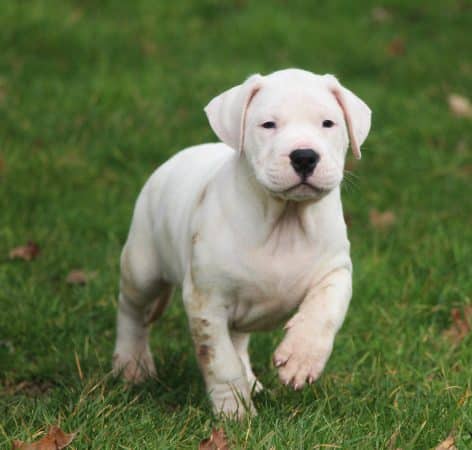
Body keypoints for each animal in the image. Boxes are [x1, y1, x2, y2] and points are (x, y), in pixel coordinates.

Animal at [112, 68, 370, 416]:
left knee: (238, 341)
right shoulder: (206, 302)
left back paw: (252, 382)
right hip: (143, 265)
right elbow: (221, 361)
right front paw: (234, 412)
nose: (304, 156)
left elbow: (323, 312)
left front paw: (301, 359)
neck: (285, 220)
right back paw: (131, 365)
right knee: (132, 310)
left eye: (328, 123)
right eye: (268, 125)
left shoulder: (335, 270)